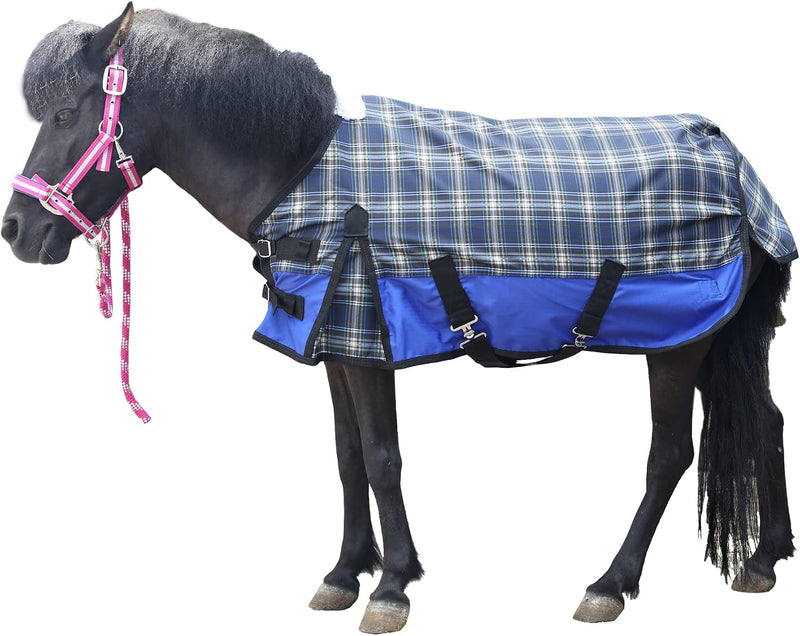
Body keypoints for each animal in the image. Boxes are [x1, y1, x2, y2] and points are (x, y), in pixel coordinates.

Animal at [2, 3, 796, 633]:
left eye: (66, 115)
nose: (16, 231)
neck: (301, 170)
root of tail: (735, 161)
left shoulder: (368, 339)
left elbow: (383, 459)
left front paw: (391, 587)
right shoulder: (334, 343)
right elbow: (348, 456)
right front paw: (344, 573)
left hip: (677, 346)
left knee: (669, 455)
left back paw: (610, 583)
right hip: (716, 339)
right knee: (767, 422)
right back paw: (763, 561)